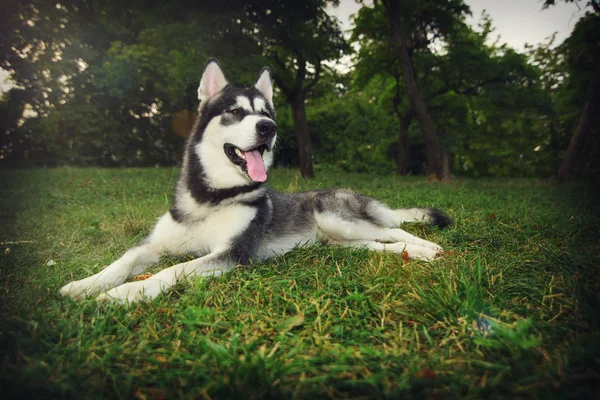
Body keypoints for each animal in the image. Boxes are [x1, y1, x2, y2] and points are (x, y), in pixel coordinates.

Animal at [59, 58, 450, 304]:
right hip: (340, 242)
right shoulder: (154, 245)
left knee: (394, 230)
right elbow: (124, 261)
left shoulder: (232, 254)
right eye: (235, 112)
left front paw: (123, 294)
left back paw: (427, 249)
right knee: (381, 245)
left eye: (266, 113)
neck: (212, 197)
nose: (269, 128)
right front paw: (84, 286)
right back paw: (414, 254)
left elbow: (172, 270)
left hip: (339, 220)